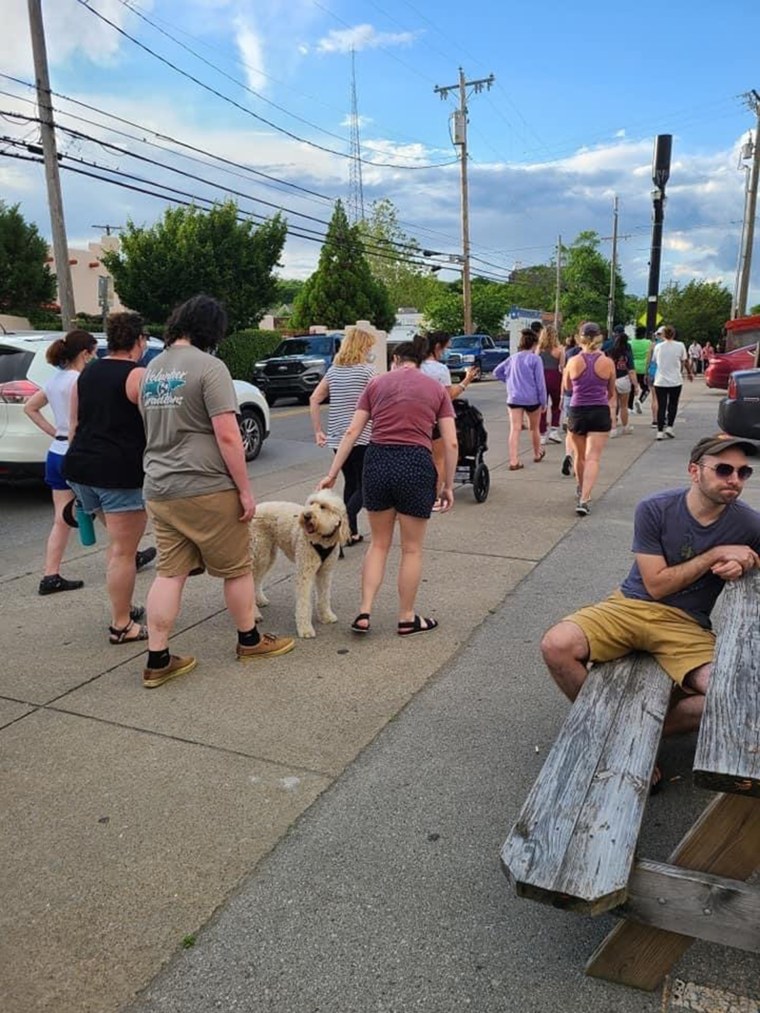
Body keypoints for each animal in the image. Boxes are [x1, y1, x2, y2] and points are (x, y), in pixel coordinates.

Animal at [253, 490, 354, 640]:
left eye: (323, 507)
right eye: (311, 503)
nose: (306, 515)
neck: (321, 540)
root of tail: (255, 508)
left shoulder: (325, 572)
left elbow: (324, 596)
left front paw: (326, 616)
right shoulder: (305, 572)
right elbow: (304, 602)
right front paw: (305, 629)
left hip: (268, 555)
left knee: (257, 580)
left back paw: (260, 600)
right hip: (260, 553)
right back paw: (254, 614)